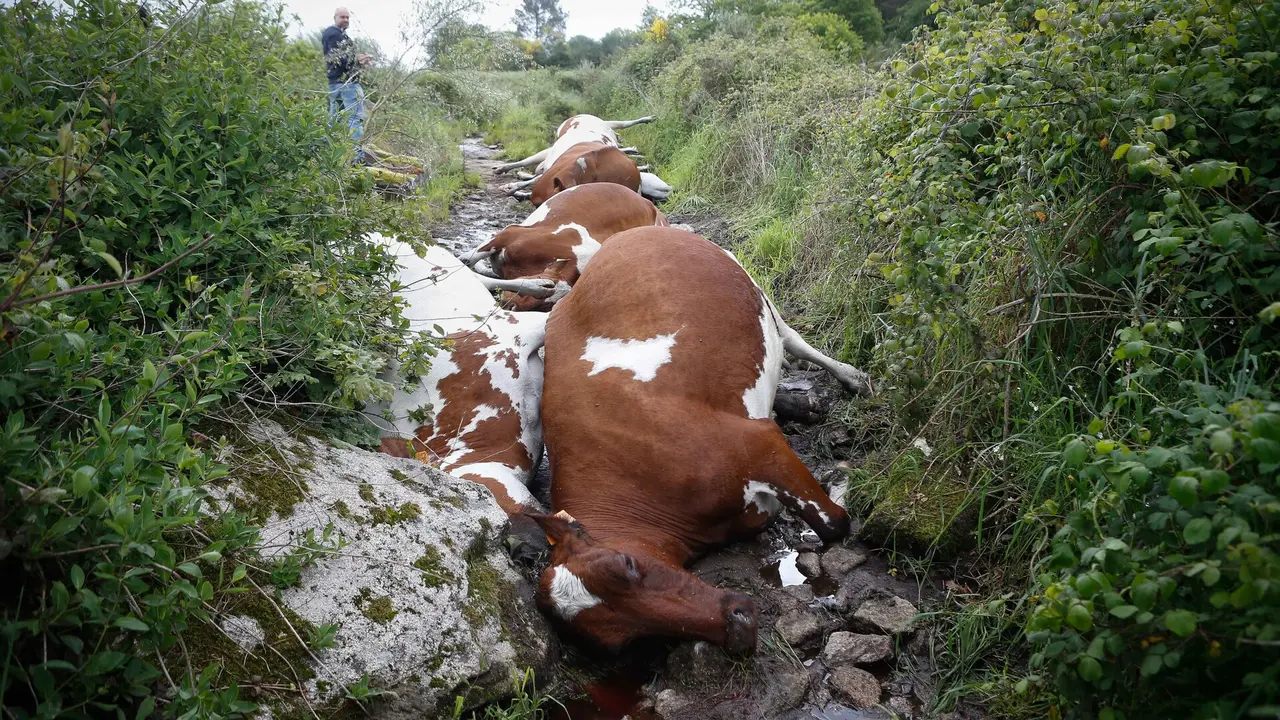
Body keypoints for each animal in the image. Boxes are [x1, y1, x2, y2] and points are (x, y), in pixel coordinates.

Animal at [459, 183, 668, 311]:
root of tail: (649, 204)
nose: (511, 306)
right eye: (545, 282)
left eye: (545, 306)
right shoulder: (510, 232)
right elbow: (470, 258)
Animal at [529, 227, 871, 655]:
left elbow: (832, 525)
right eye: (625, 642)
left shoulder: (759, 443)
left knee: (792, 338)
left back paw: (851, 377)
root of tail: (627, 235)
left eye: (626, 564)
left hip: (752, 284)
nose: (737, 628)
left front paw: (843, 481)